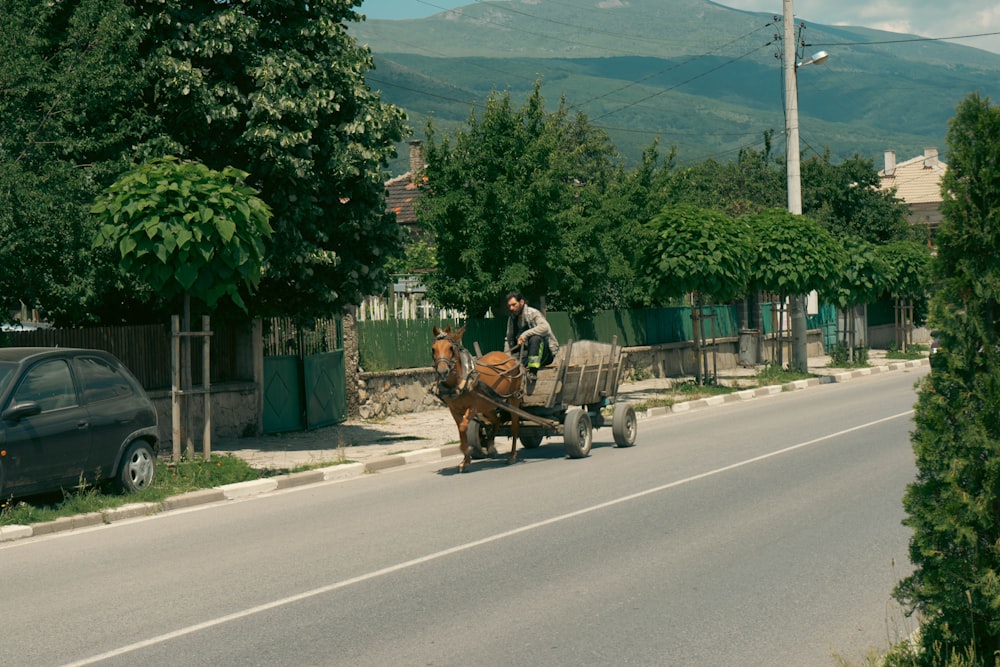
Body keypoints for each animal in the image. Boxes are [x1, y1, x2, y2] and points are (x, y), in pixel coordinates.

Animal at [430, 326, 524, 472]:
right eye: (433, 349)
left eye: (451, 348)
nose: (442, 372)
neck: (459, 382)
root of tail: (509, 358)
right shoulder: (454, 410)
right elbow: (461, 431)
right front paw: (465, 461)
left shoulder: (473, 407)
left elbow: (463, 427)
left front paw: (466, 450)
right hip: (488, 405)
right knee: (496, 421)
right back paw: (491, 446)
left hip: (513, 399)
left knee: (514, 427)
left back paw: (512, 455)